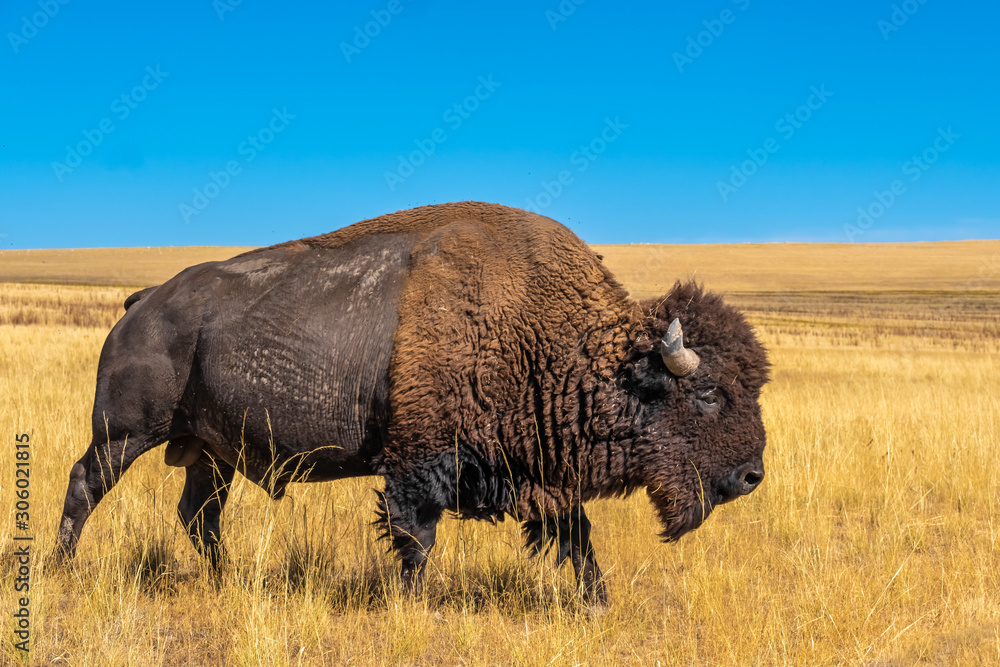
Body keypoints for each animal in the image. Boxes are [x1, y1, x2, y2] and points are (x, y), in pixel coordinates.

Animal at [56, 201, 770, 602]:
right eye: (709, 394)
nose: (751, 476)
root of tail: (142, 302)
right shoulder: (419, 463)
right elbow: (415, 536)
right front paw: (409, 602)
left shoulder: (541, 473)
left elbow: (576, 535)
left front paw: (598, 601)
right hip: (124, 434)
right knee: (86, 483)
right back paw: (63, 568)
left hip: (210, 452)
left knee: (198, 515)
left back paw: (227, 581)